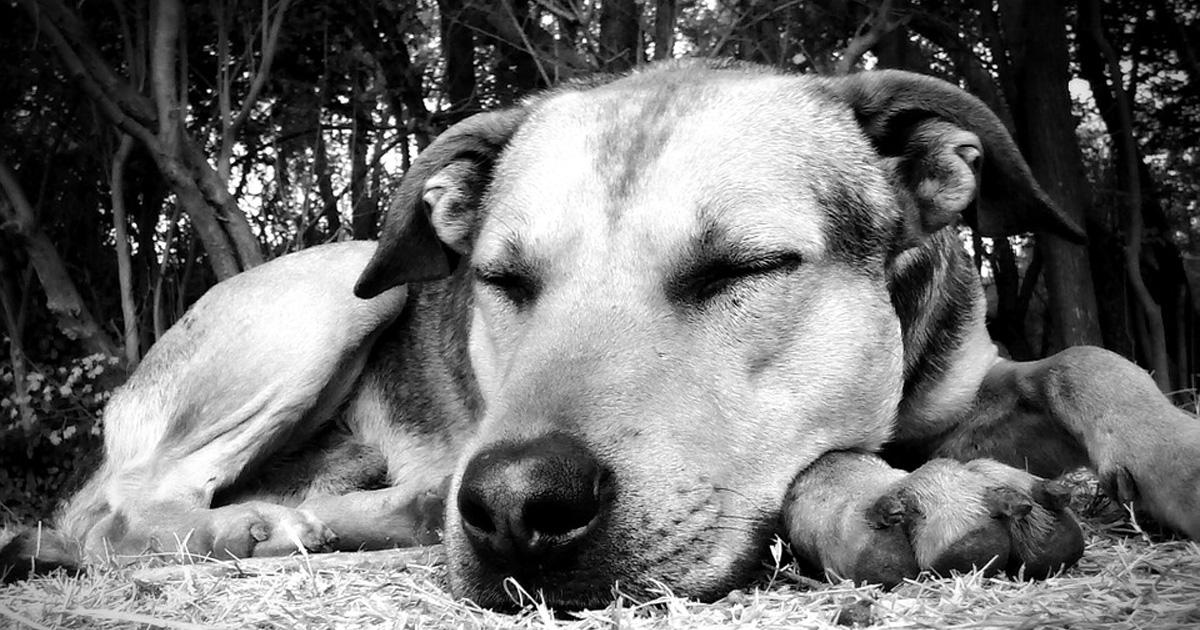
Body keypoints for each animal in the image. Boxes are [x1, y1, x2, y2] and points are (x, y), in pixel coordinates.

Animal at [9, 61, 1200, 607]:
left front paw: (1175, 454)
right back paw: (250, 527)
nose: (510, 507)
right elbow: (816, 464)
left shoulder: (974, 377)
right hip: (335, 298)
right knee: (121, 515)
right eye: (502, 280)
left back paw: (364, 513)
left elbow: (1092, 360)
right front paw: (893, 498)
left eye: (744, 269)